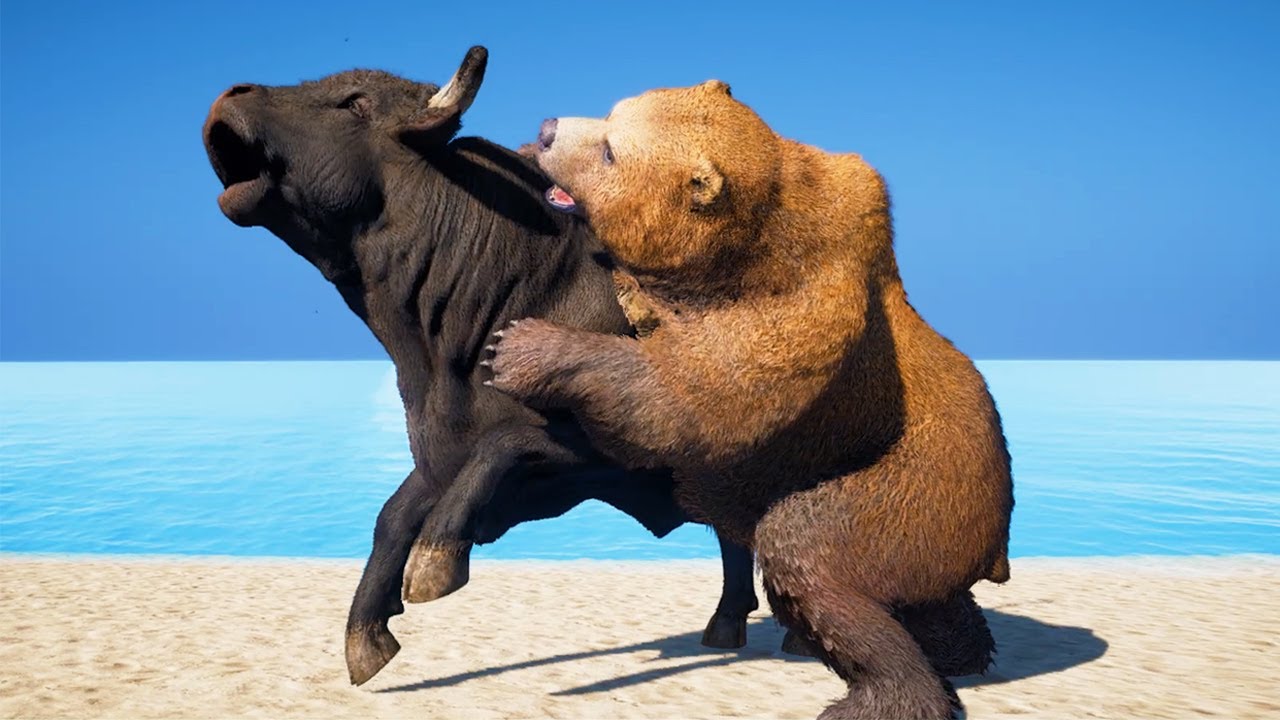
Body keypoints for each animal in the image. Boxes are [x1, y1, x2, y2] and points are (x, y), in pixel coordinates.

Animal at [201, 46, 789, 686]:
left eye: (355, 103)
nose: (230, 94)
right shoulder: (441, 453)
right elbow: (394, 513)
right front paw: (368, 633)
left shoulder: (603, 451)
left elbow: (505, 445)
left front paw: (435, 565)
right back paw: (728, 624)